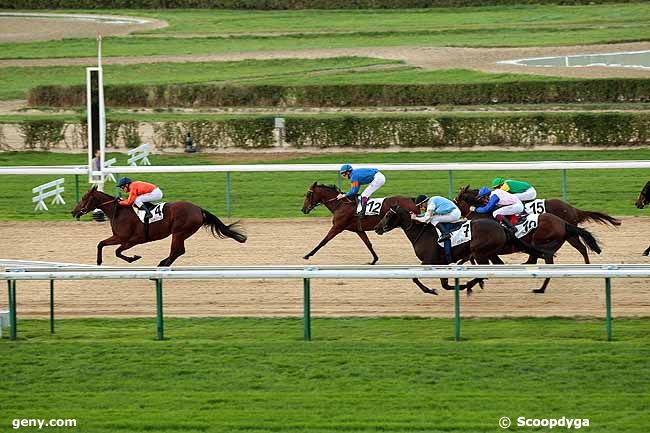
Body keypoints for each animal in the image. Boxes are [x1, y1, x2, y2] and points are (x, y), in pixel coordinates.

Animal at [69, 186, 244, 266]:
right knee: (179, 251)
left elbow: (117, 251)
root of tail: (198, 209)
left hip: (179, 232)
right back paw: (163, 263)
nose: (73, 211)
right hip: (180, 234)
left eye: (84, 198)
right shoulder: (119, 237)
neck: (118, 212)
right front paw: (99, 262)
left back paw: (163, 264)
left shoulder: (130, 239)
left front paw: (133, 258)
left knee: (177, 251)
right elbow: (101, 243)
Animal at [370, 205, 548, 294]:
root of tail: (502, 227)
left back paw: (469, 285)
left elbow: (415, 277)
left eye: (388, 215)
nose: (377, 228)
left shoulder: (429, 260)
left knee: (484, 270)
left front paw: (430, 290)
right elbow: (444, 284)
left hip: (480, 252)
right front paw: (446, 287)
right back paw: (472, 284)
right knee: (496, 266)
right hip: (489, 252)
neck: (421, 232)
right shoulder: (441, 263)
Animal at [454, 186, 600, 294]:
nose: (455, 213)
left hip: (547, 242)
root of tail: (570, 211)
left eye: (456, 201)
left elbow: (471, 258)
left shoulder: (486, 249)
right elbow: (469, 259)